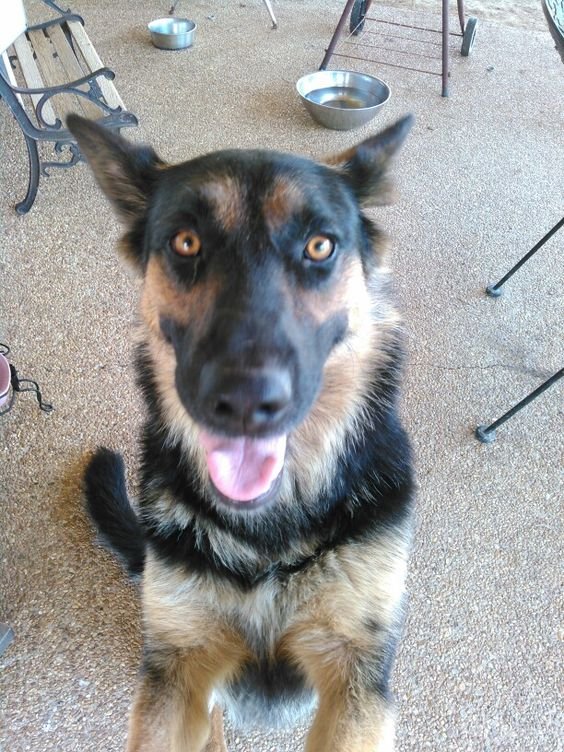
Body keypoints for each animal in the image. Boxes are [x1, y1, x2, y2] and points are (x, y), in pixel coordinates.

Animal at [69, 113, 414, 752]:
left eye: (319, 246)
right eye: (186, 242)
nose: (245, 402)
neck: (267, 539)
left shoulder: (354, 678)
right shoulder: (176, 671)